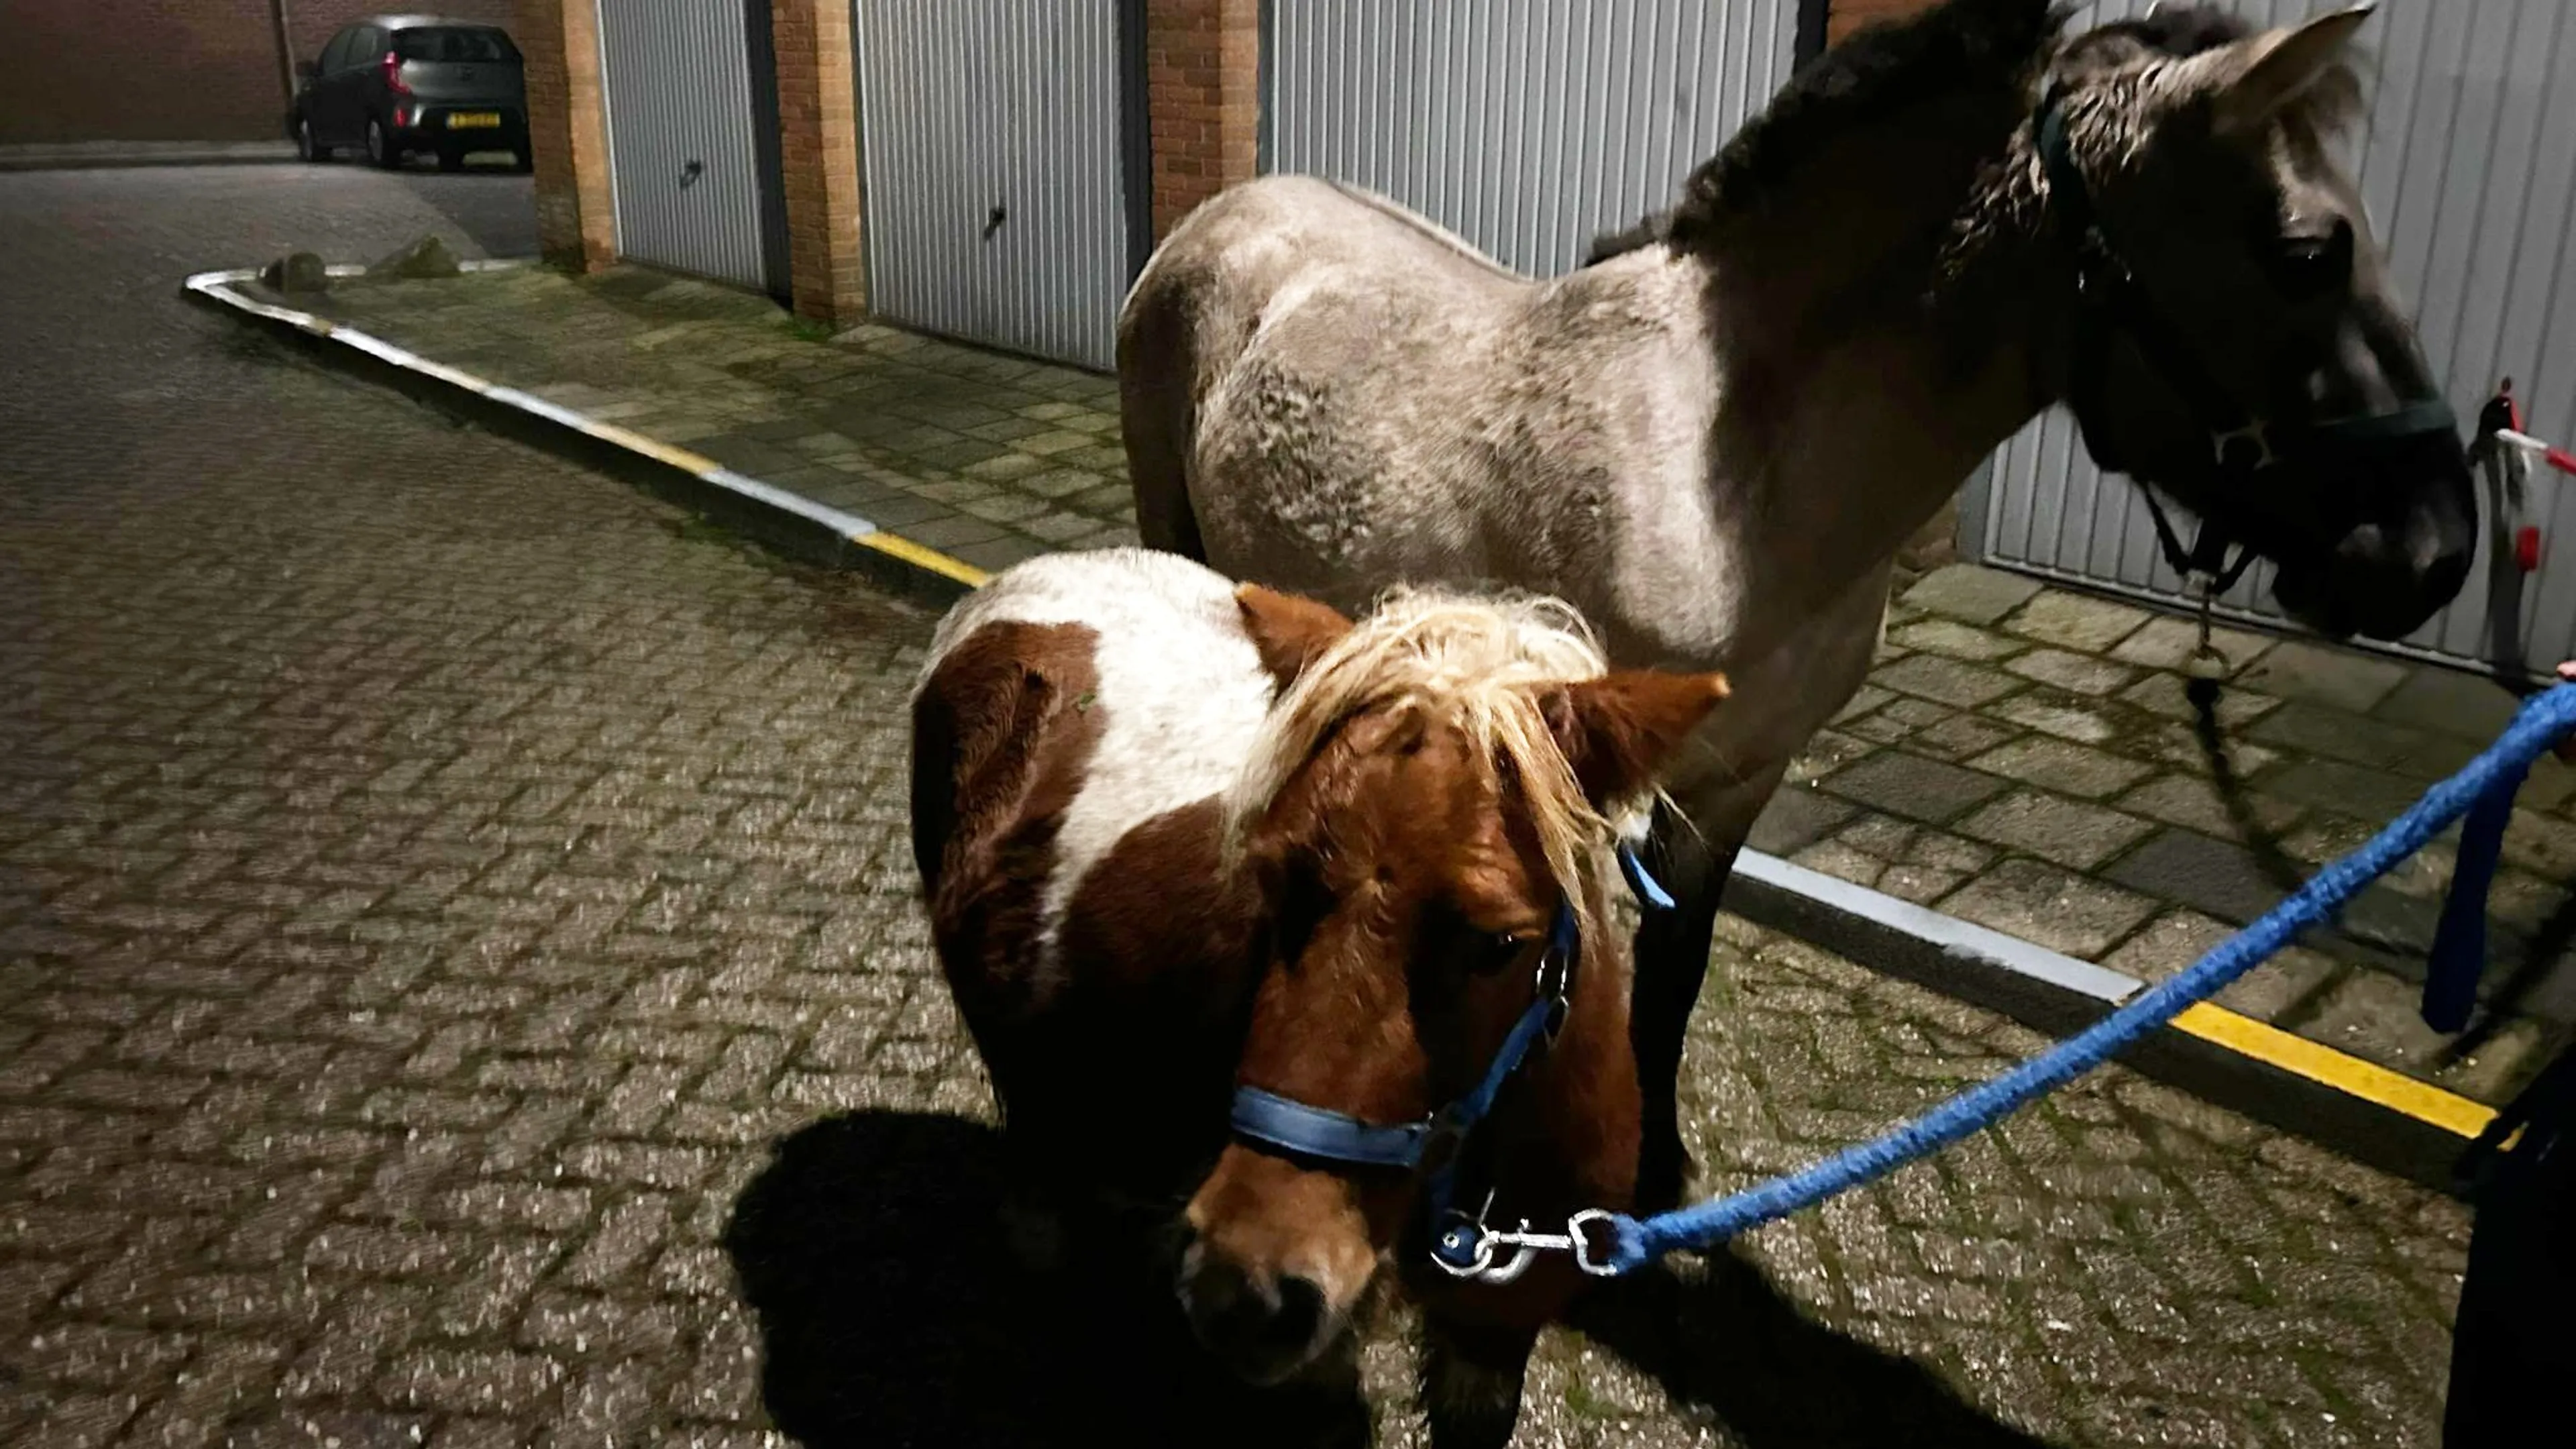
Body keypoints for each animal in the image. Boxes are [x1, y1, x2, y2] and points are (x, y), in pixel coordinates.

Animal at [1114, 0, 2478, 1216]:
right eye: (2308, 253)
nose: (2436, 550)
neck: (1733, 468)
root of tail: (1224, 215)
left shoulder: (1736, 778)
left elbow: (1671, 976)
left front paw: (1650, 1176)